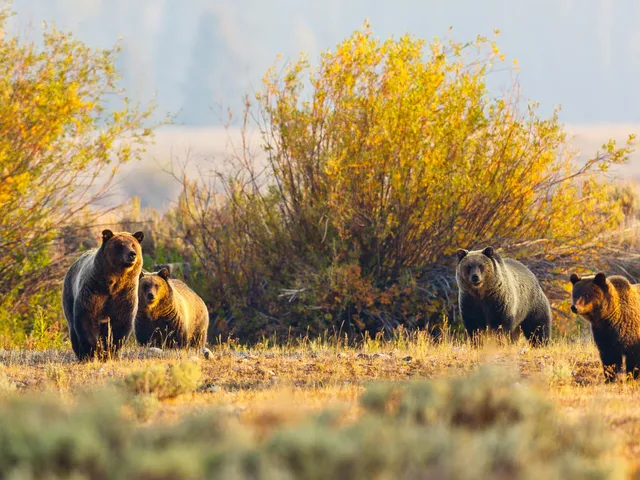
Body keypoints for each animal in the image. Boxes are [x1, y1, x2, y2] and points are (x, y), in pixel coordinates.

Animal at [62, 229, 144, 361]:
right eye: (120, 245)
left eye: (133, 244)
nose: (132, 254)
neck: (112, 284)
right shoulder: (93, 290)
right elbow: (86, 318)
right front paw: (93, 351)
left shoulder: (124, 295)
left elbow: (120, 324)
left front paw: (110, 352)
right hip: (69, 293)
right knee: (72, 327)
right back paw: (80, 354)